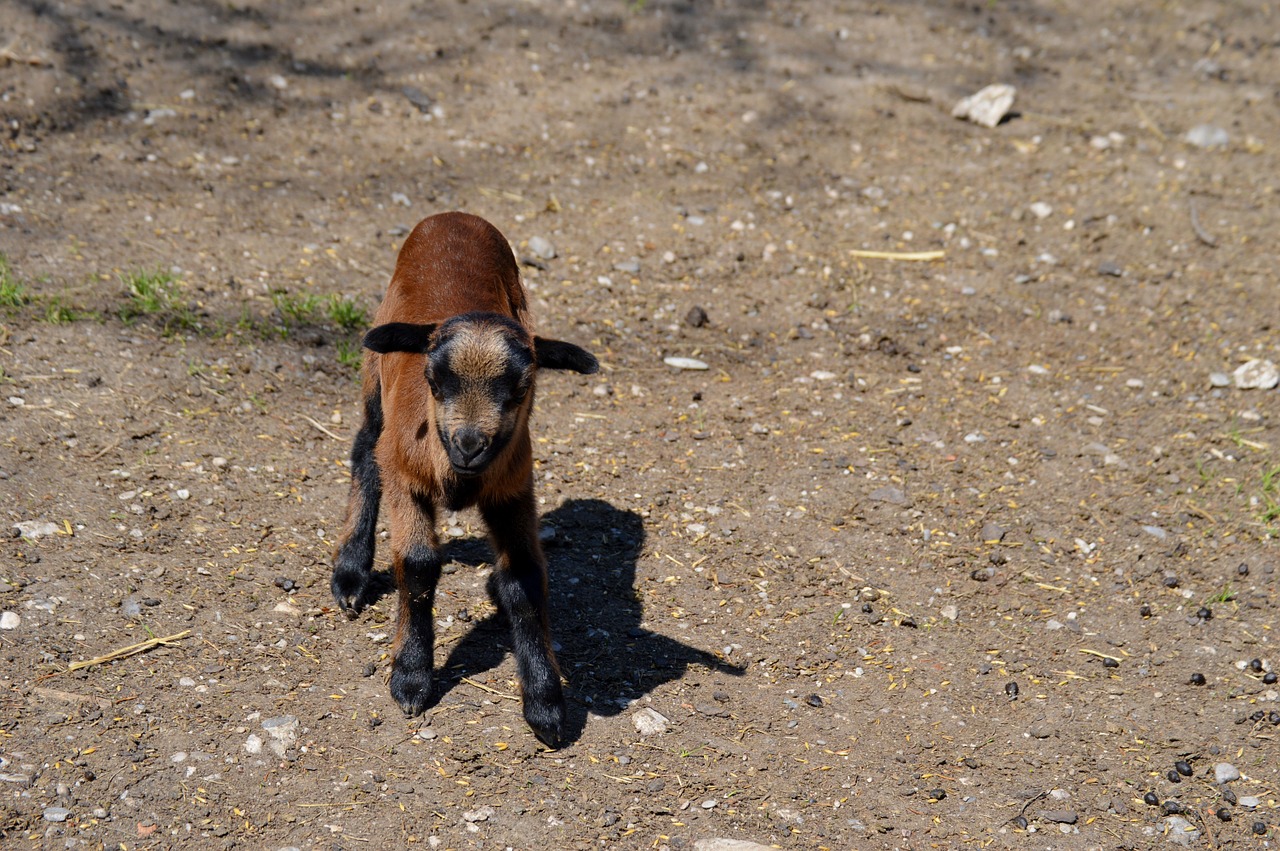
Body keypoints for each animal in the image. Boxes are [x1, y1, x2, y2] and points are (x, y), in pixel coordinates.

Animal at [332, 212, 596, 742]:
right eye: (434, 380)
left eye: (522, 387)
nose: (469, 445)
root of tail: (453, 217)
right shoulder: (406, 478)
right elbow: (417, 566)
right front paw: (411, 677)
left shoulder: (514, 490)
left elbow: (525, 578)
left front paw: (545, 703)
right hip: (374, 375)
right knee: (365, 450)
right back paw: (350, 574)